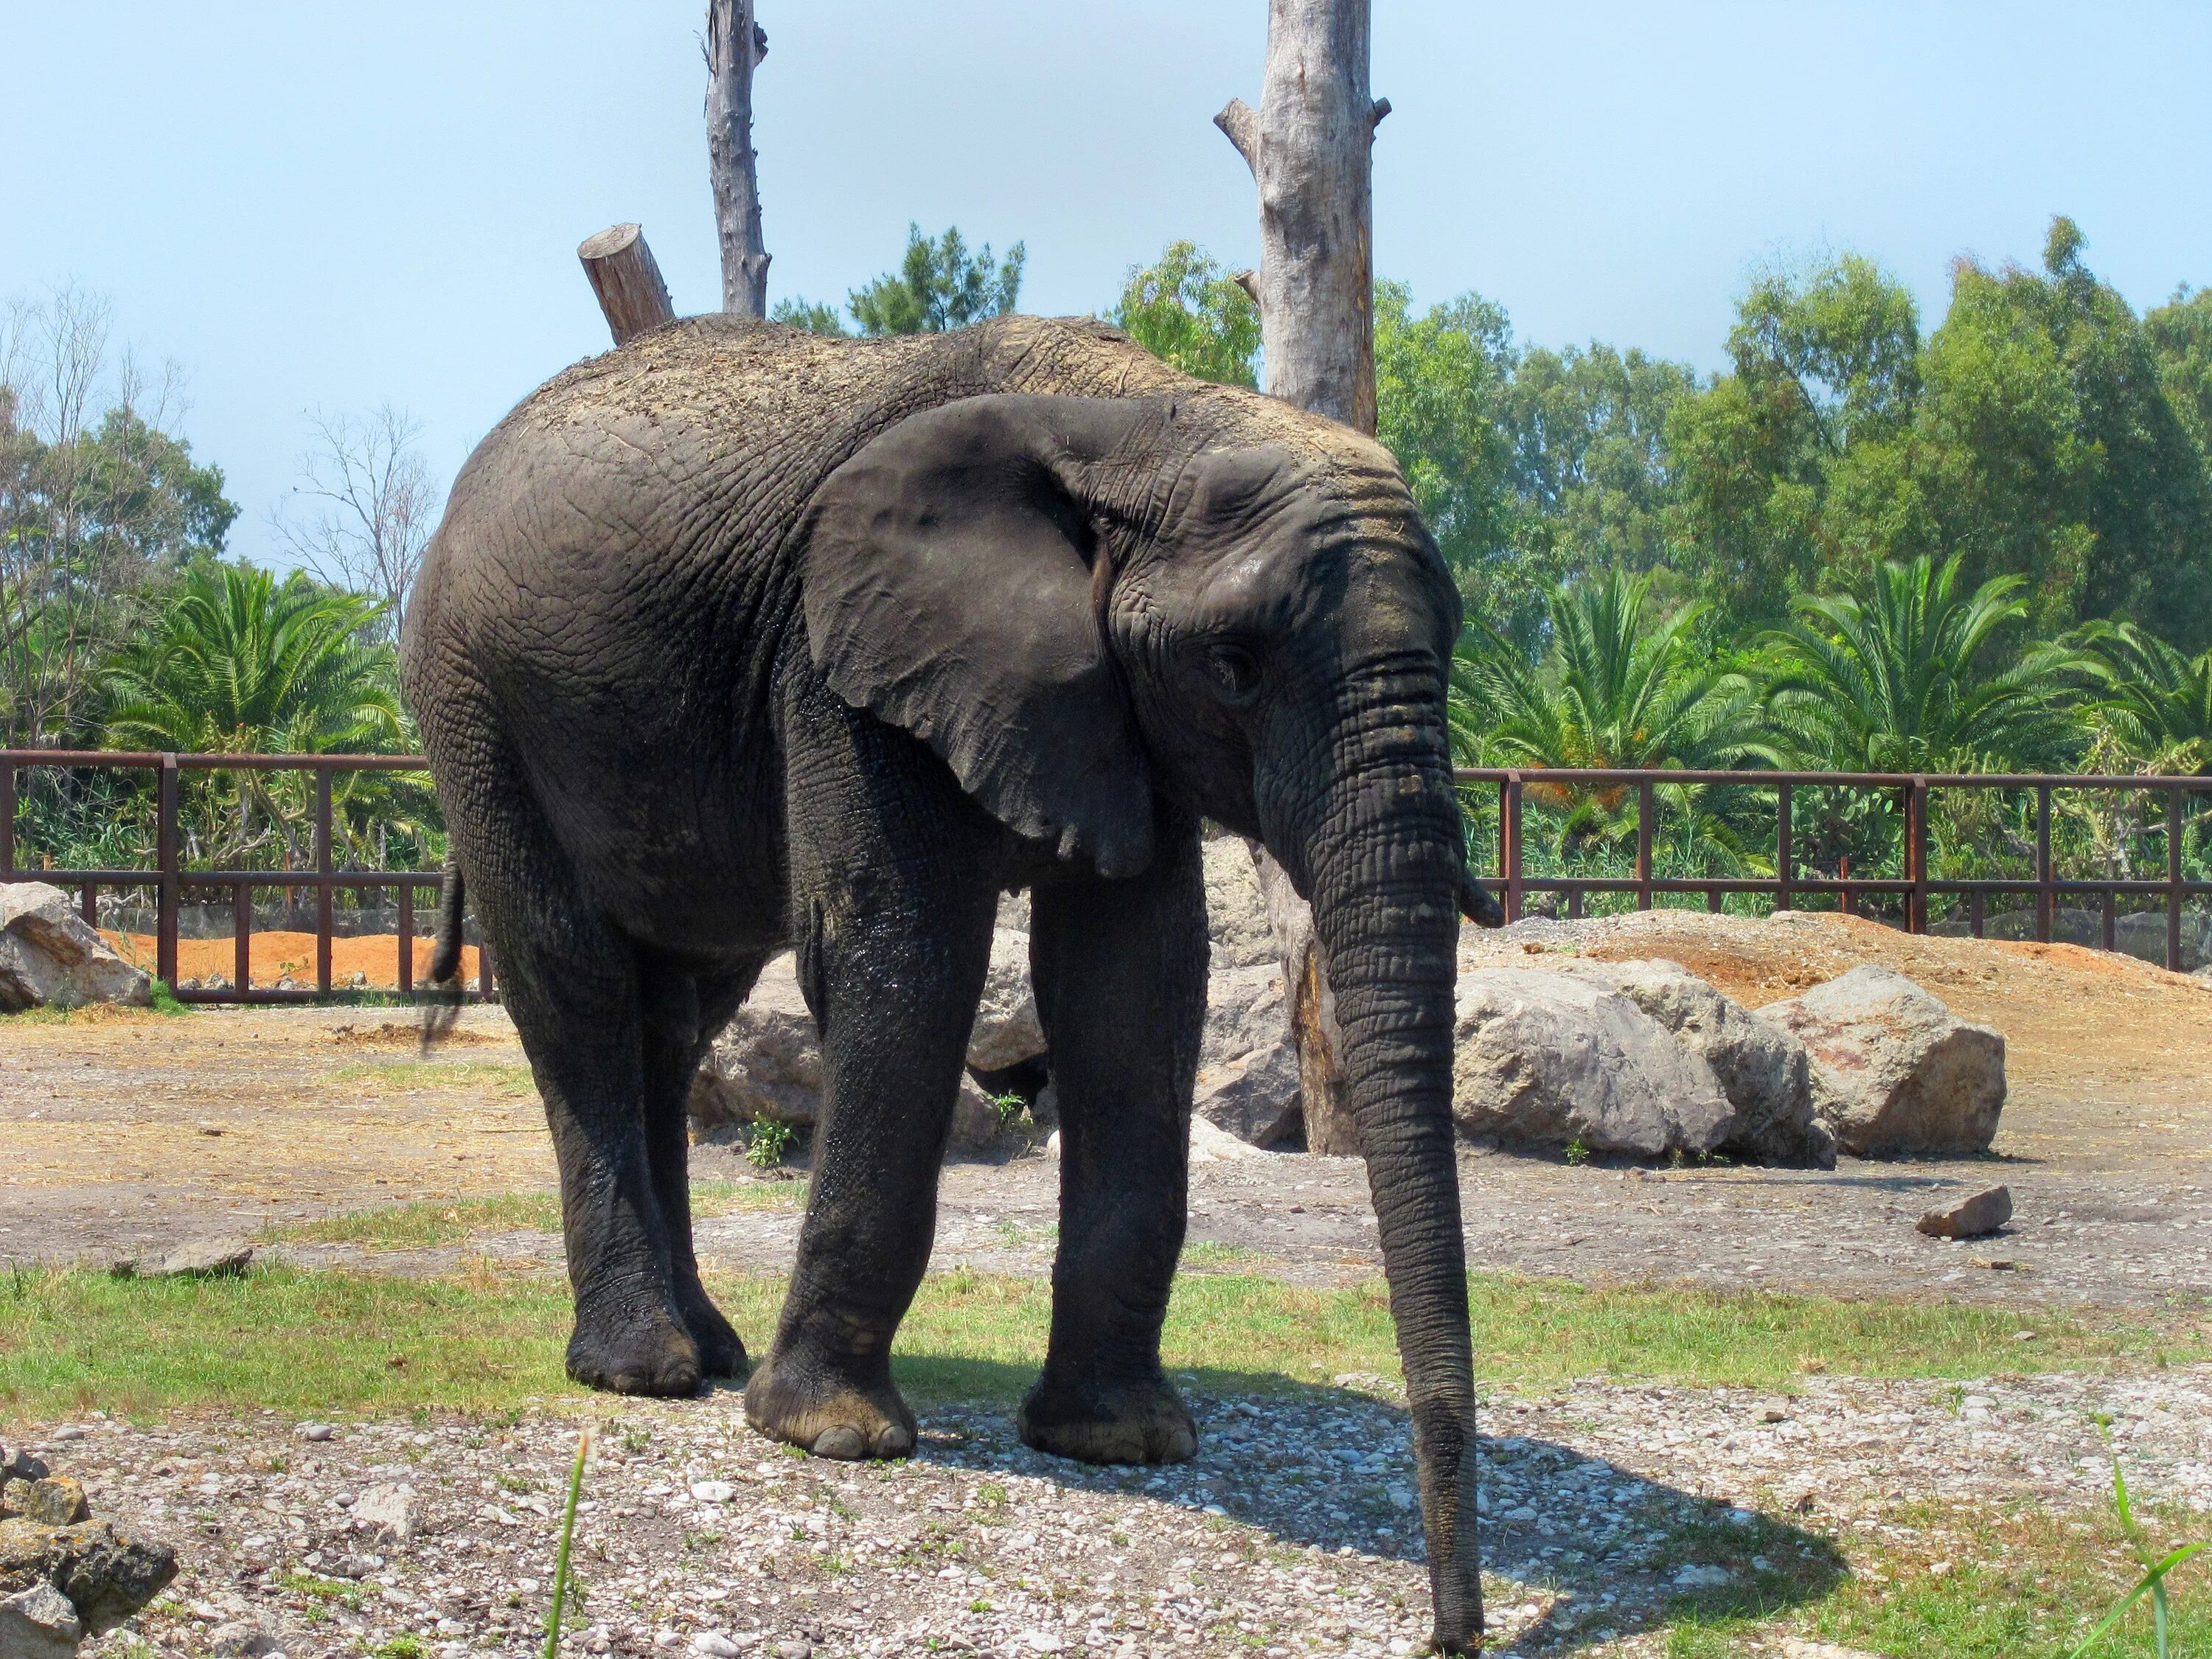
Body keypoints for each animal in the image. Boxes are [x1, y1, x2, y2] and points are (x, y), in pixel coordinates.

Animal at [407, 312, 1495, 1655]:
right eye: (1234, 664)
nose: (1452, 1634)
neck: (1143, 419)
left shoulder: (1113, 718)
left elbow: (1134, 983)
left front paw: (1121, 1443)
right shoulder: (841, 664)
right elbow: (900, 952)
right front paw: (831, 1438)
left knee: (679, 1009)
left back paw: (706, 1351)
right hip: (476, 703)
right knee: (581, 986)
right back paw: (644, 1371)